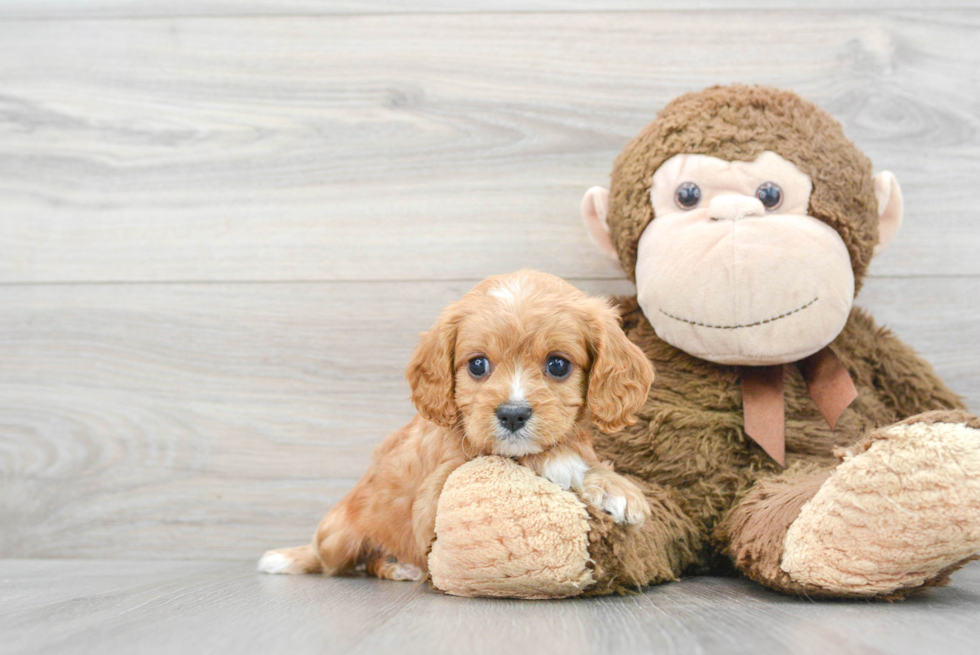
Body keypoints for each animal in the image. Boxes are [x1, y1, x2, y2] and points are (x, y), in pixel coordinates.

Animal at [260, 270, 656, 580]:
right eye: (478, 365)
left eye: (558, 365)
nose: (513, 414)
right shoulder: (435, 499)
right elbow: (499, 454)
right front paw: (563, 463)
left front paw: (614, 485)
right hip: (340, 538)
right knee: (342, 563)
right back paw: (393, 565)